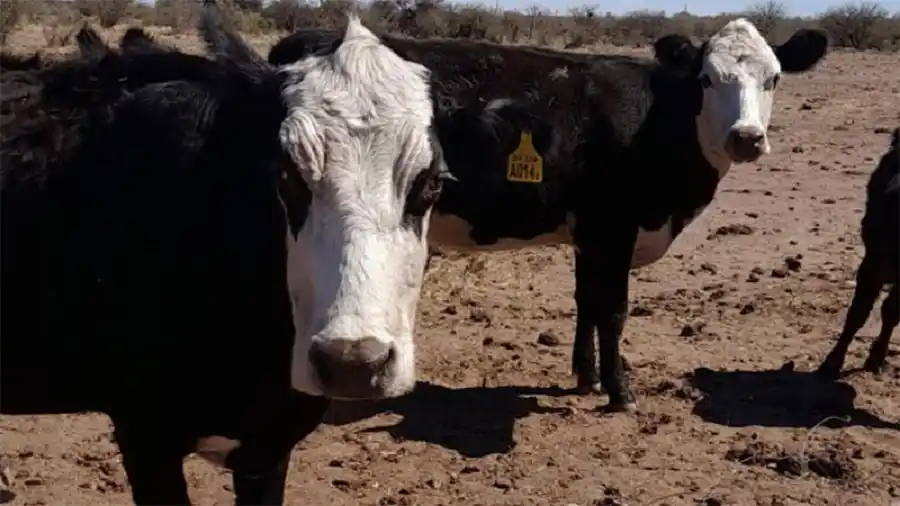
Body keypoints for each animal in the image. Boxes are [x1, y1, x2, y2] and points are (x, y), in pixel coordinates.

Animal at [267, 19, 830, 412]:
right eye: (709, 80)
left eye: (774, 78)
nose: (747, 138)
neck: (656, 119)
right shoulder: (614, 229)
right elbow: (613, 310)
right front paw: (619, 392)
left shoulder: (591, 236)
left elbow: (587, 303)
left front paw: (586, 376)